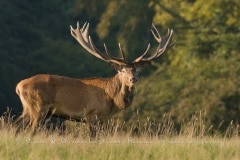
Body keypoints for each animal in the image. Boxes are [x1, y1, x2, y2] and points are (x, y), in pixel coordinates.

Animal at [14, 21, 174, 138]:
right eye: (122, 70)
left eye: (136, 70)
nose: (133, 79)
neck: (112, 98)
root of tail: (19, 86)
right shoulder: (91, 114)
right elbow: (93, 138)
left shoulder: (104, 119)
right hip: (39, 106)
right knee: (31, 130)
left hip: (28, 108)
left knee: (15, 126)